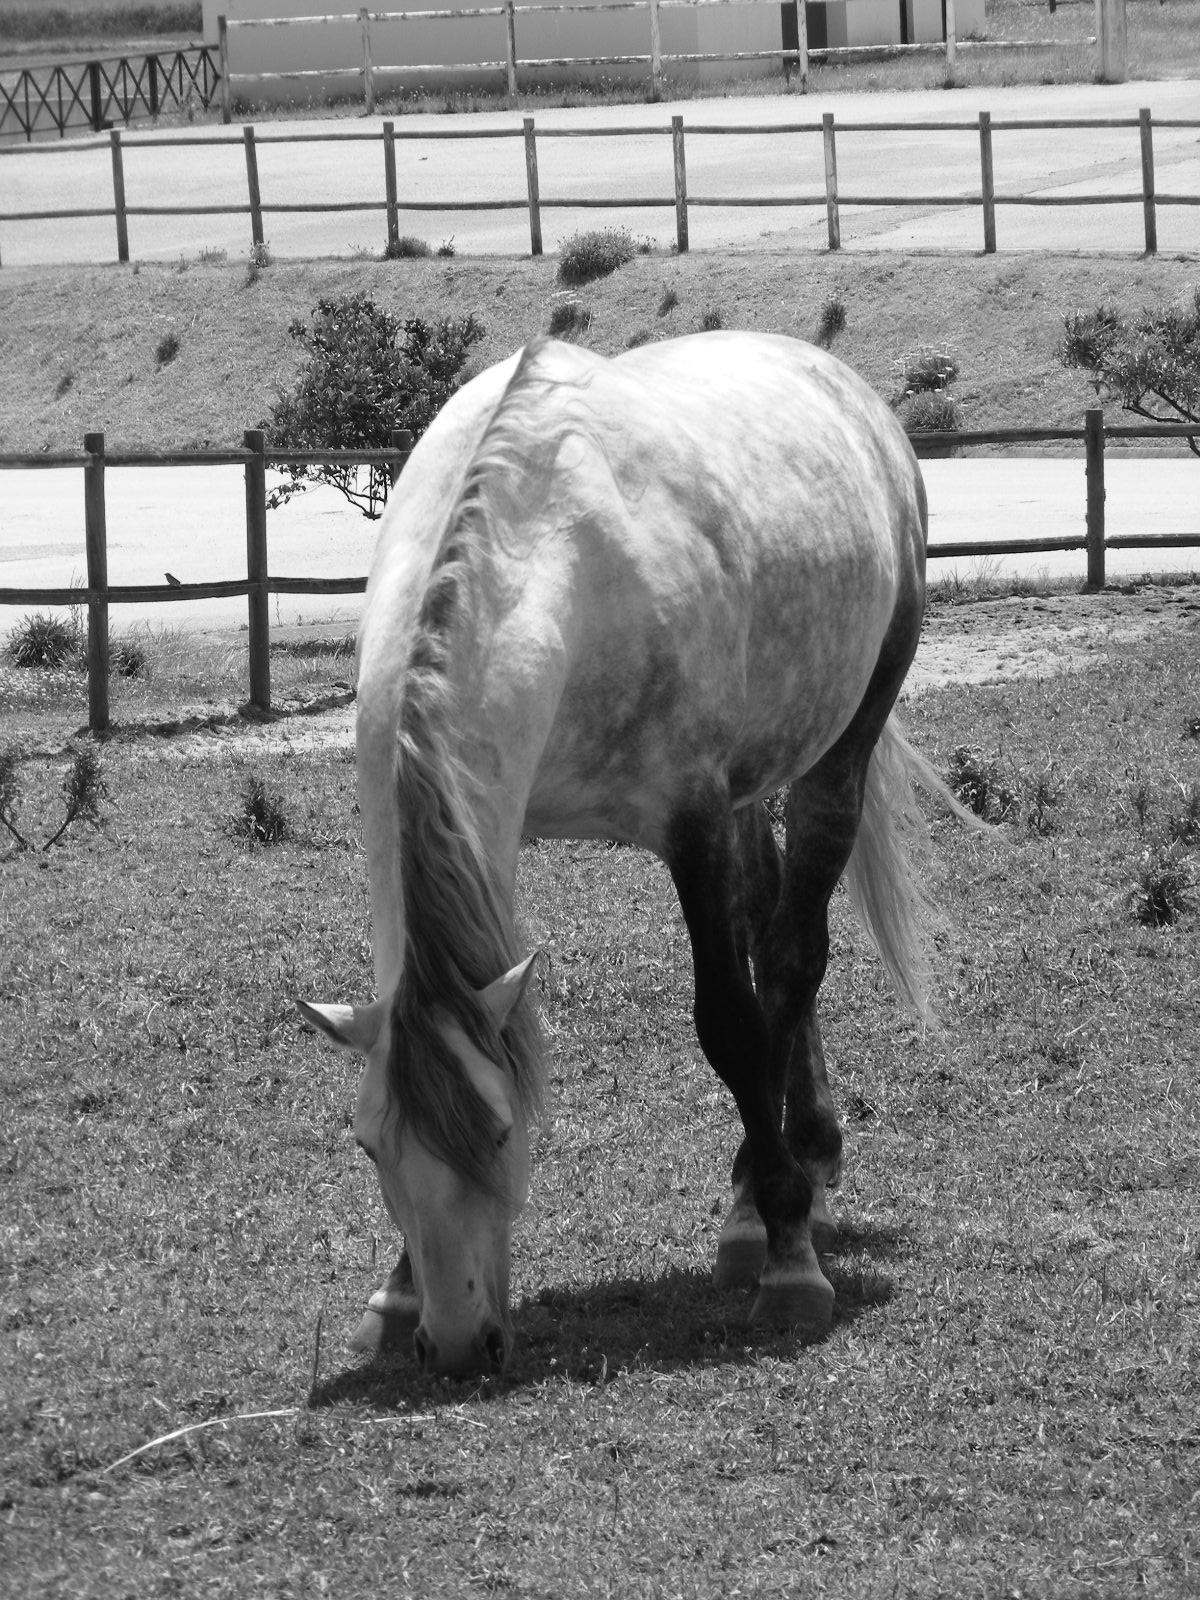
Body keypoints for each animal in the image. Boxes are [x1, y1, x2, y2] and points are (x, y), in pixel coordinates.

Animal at [300, 329, 963, 1379]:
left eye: (501, 1131)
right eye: (369, 1144)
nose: (458, 1342)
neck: (555, 555)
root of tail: (846, 388)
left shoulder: (689, 824)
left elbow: (730, 1026)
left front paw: (789, 1260)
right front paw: (394, 1296)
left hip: (837, 754)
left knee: (791, 961)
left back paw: (773, 1194)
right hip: (751, 785)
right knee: (774, 930)